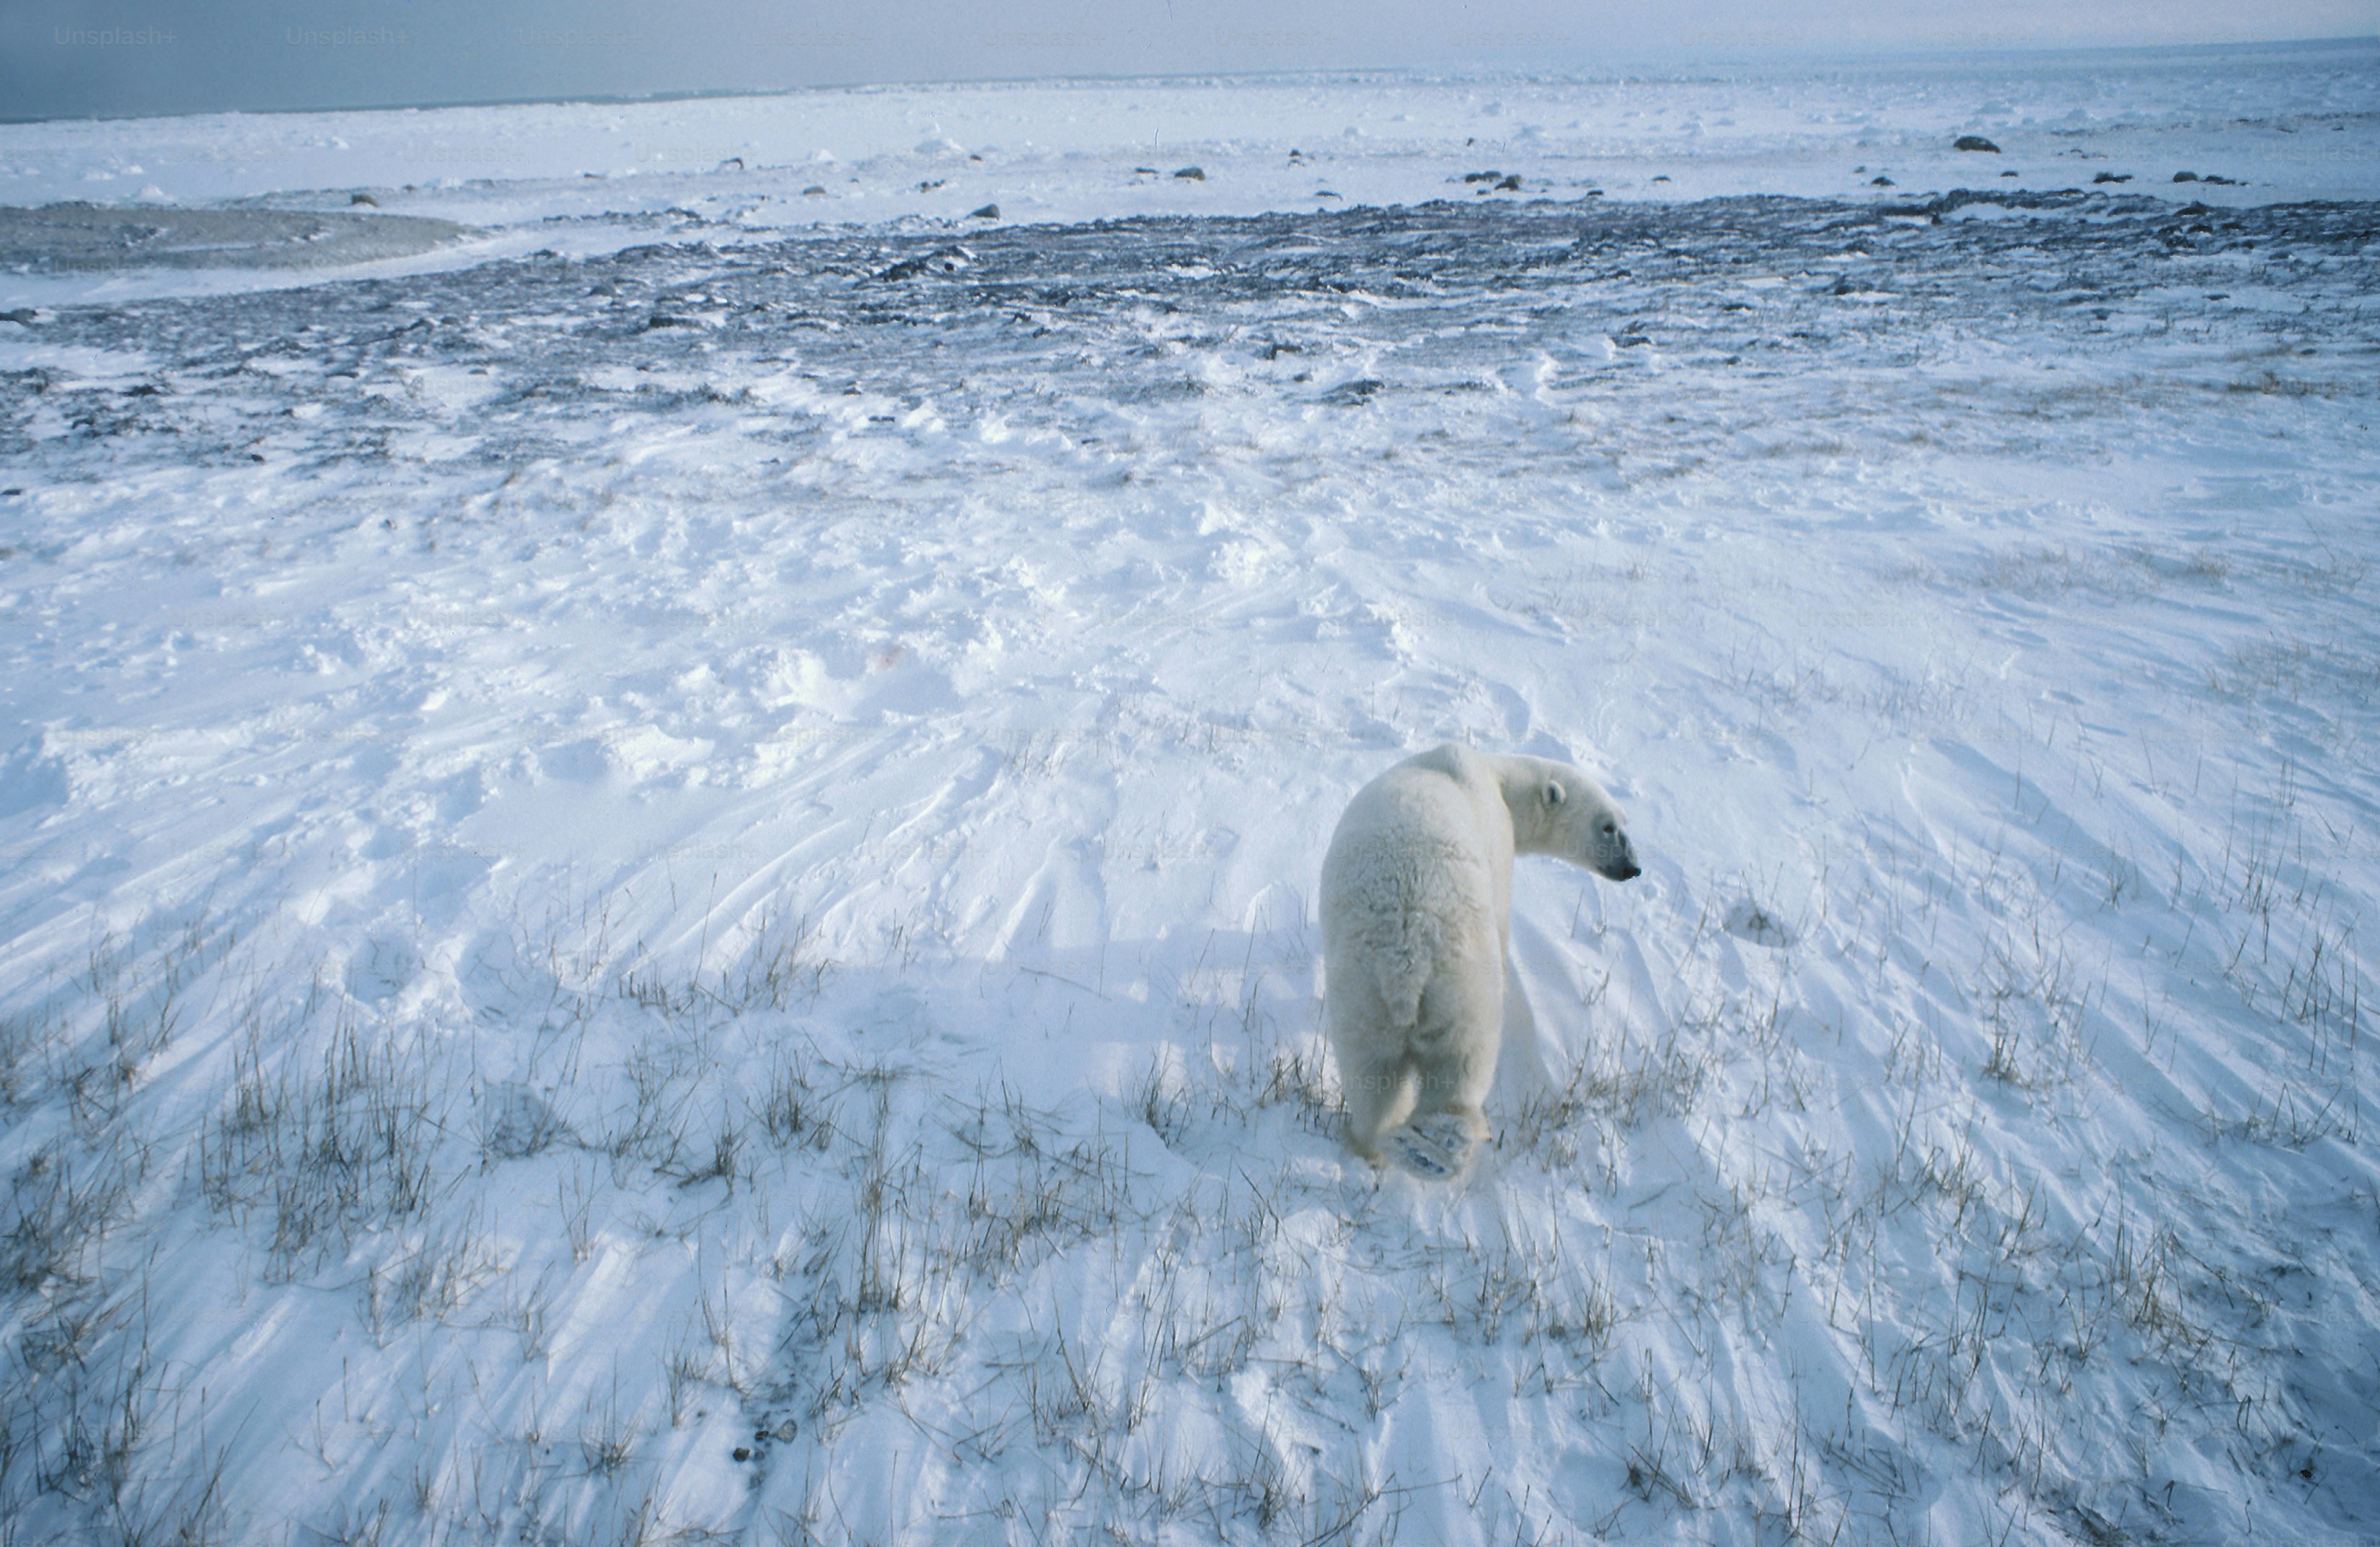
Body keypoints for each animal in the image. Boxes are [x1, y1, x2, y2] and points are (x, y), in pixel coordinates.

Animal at [1320, 742, 1640, 1179]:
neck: (1495, 774)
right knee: (1462, 1064)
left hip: (1362, 994)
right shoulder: (1497, 840)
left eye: (1622, 822)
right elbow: (1503, 917)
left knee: (1373, 1079)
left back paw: (1382, 1147)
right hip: (1460, 988)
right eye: (1608, 826)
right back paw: (1443, 1141)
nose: (1633, 867)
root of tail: (1406, 960)